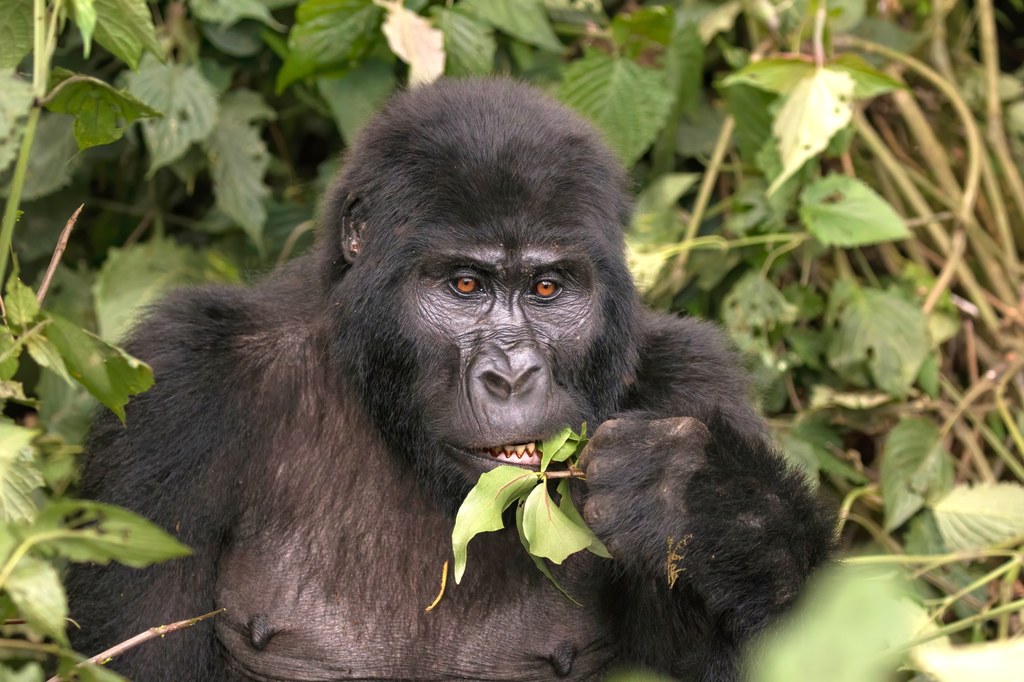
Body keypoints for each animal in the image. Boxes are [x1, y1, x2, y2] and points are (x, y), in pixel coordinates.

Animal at [66, 80, 831, 679]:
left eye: (548, 288)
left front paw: (705, 498)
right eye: (465, 285)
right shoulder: (177, 389)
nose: (512, 373)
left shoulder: (691, 381)